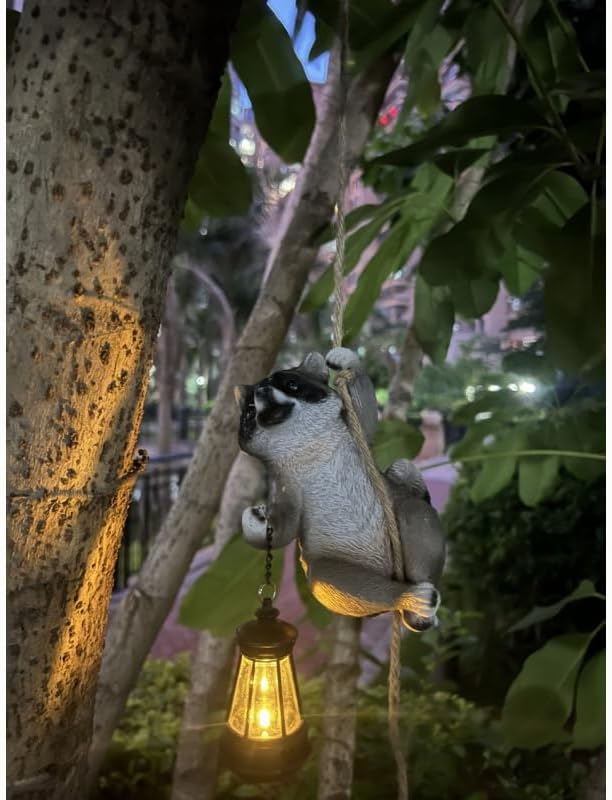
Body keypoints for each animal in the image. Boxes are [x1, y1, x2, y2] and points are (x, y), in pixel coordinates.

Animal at [236, 347, 445, 631]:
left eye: (291, 384)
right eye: (250, 408)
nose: (263, 391)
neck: (306, 446)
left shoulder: (354, 439)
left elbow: (366, 419)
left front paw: (351, 363)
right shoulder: (286, 483)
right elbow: (284, 529)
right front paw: (256, 521)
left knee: (415, 510)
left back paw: (419, 597)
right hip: (334, 563)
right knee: (334, 582)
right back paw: (405, 598)